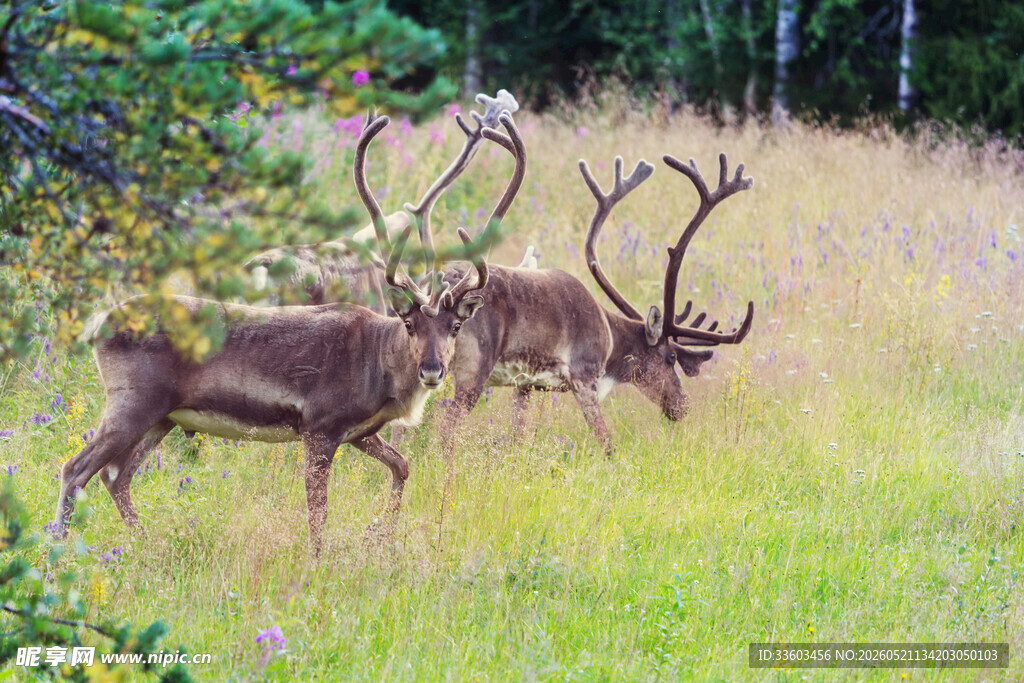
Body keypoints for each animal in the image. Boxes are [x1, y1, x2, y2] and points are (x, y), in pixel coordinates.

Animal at [52, 110, 527, 556]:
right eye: (409, 324)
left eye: (455, 325)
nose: (431, 369)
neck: (380, 366)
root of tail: (99, 323)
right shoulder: (319, 426)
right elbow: (318, 513)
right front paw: (318, 564)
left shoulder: (359, 431)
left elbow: (402, 465)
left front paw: (380, 531)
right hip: (133, 402)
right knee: (76, 468)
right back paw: (56, 549)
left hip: (163, 415)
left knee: (116, 475)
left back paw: (147, 543)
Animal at [436, 152, 754, 456]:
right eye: (671, 357)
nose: (683, 406)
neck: (611, 339)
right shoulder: (585, 376)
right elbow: (607, 443)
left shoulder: (524, 384)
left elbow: (518, 436)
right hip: (473, 370)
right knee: (447, 427)